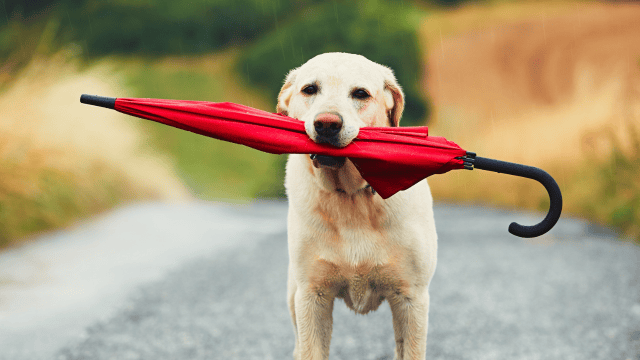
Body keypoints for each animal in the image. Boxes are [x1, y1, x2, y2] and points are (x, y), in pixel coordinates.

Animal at [282, 51, 438, 360]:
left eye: (361, 94)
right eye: (309, 89)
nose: (327, 124)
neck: (351, 196)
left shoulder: (411, 298)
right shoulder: (312, 296)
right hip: (293, 295)